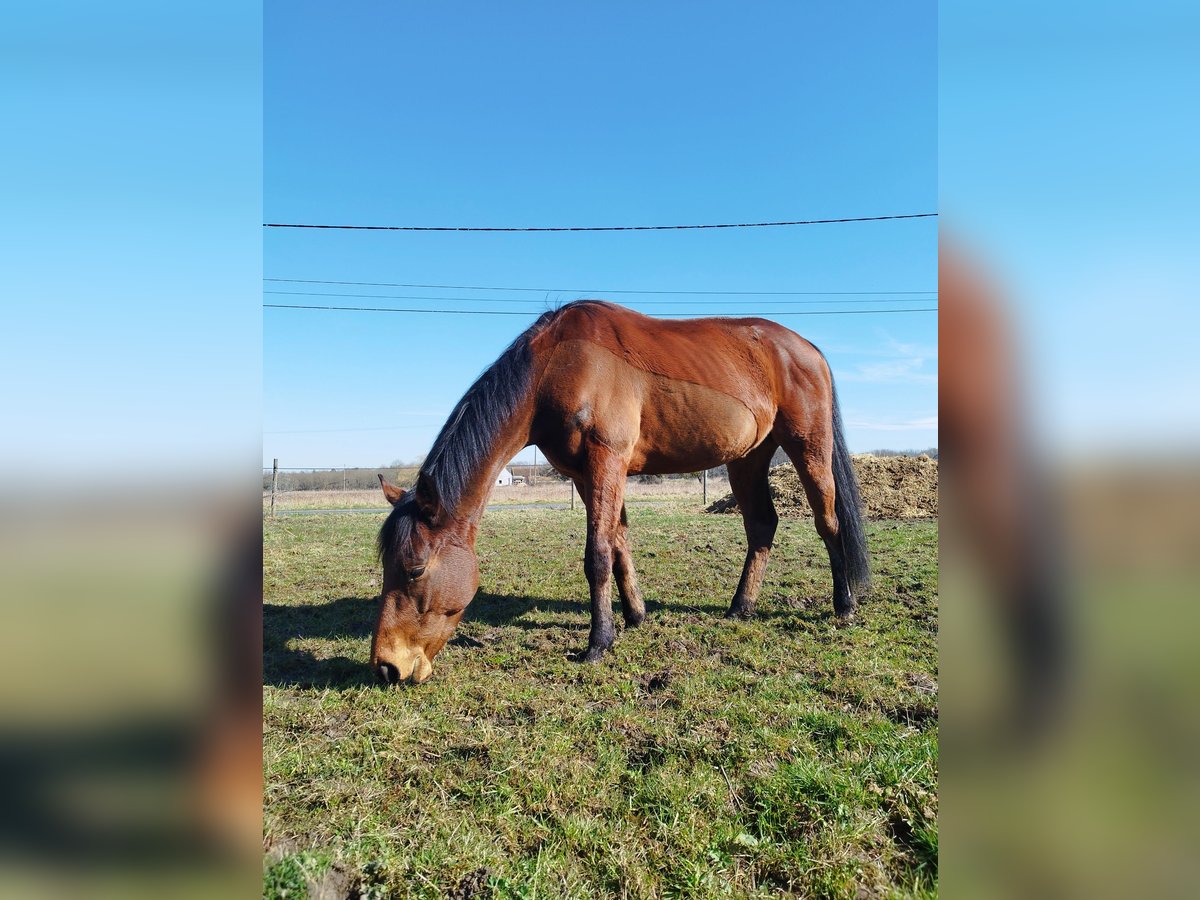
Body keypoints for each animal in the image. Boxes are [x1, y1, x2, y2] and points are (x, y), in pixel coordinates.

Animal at [369, 300, 868, 686]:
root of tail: (808, 349)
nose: (388, 667)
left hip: (808, 446)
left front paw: (597, 643)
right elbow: (619, 542)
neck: (557, 366)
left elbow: (597, 554)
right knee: (762, 525)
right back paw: (740, 607)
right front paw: (634, 616)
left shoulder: (605, 461)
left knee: (828, 520)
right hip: (747, 459)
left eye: (414, 570)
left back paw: (843, 606)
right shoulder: (586, 473)